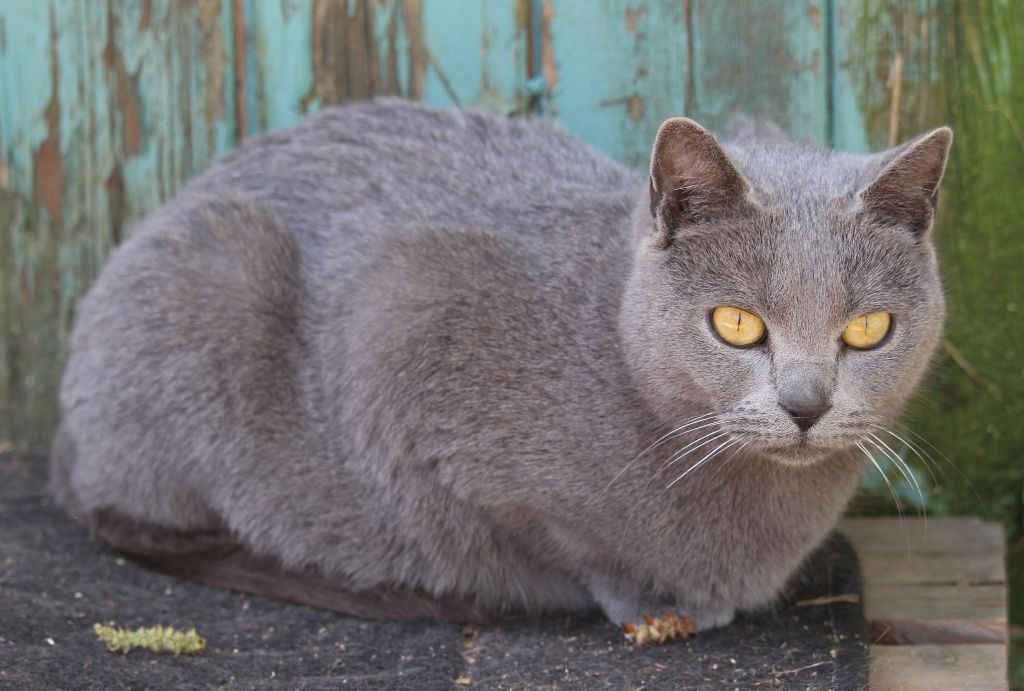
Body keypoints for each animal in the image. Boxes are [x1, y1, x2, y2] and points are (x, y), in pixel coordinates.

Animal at [51, 98, 950, 630]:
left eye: (868, 329)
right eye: (736, 324)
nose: (806, 403)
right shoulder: (404, 319)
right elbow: (562, 537)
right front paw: (649, 598)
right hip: (220, 265)